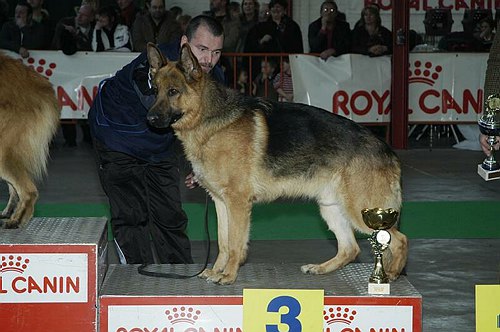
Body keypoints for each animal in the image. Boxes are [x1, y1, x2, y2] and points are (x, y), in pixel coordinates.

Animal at [146, 42, 408, 284]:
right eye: (155, 90)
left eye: (173, 91)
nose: (149, 118)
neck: (209, 120)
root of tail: (388, 150)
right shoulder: (221, 202)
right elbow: (223, 241)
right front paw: (217, 270)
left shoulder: (237, 202)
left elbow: (235, 243)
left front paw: (228, 275)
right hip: (331, 207)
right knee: (350, 248)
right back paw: (320, 268)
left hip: (364, 211)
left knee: (398, 240)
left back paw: (391, 274)